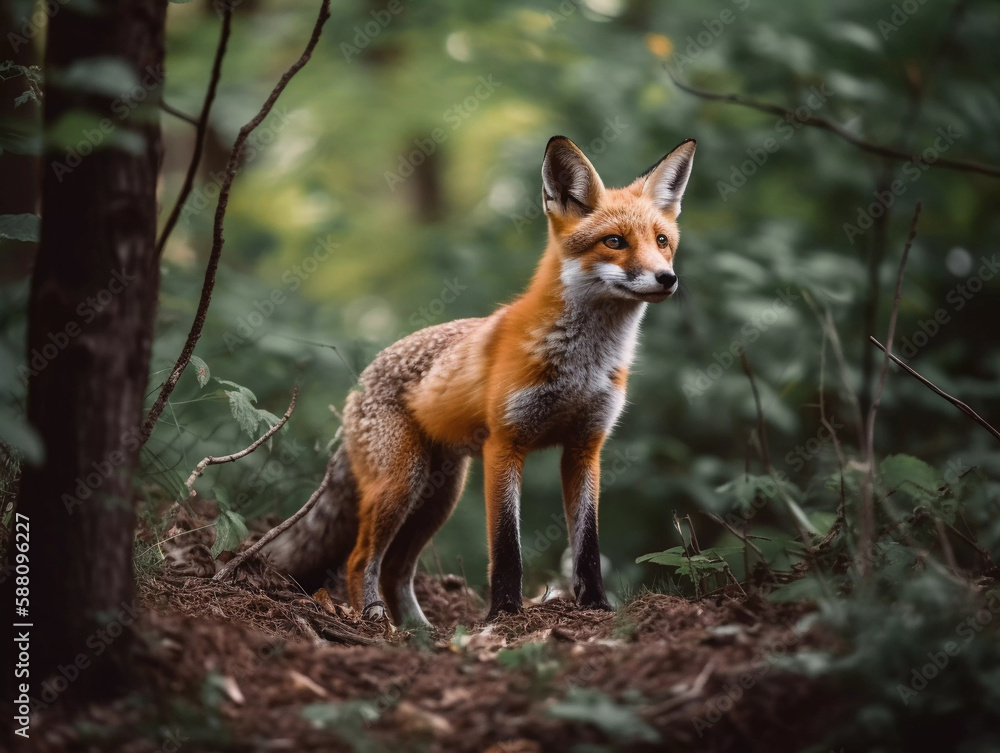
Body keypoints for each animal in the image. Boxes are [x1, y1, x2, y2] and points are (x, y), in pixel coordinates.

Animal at [264, 135, 697, 626]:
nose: (667, 278)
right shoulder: (505, 444)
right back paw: (376, 619)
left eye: (662, 241)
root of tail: (358, 386)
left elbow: (587, 544)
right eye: (614, 242)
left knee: (396, 569)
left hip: (438, 496)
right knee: (361, 560)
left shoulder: (585, 447)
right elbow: (506, 546)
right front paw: (504, 612)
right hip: (403, 484)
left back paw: (420, 631)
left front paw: (596, 606)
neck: (581, 366)